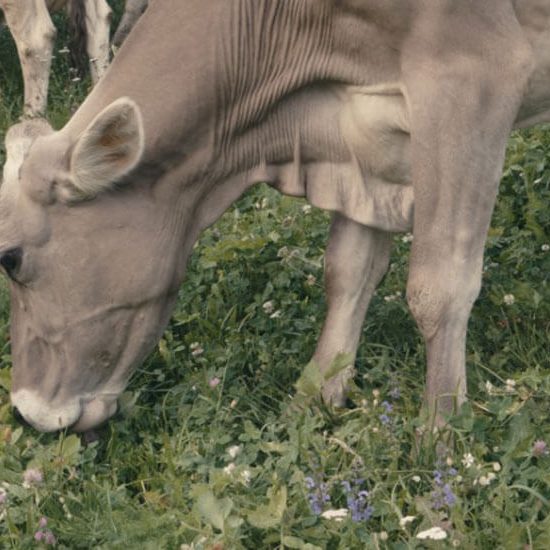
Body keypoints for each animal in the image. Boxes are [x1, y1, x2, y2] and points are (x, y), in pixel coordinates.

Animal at [2, 1, 548, 436]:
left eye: (10, 258)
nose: (26, 412)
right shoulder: (364, 138)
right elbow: (348, 271)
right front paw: (312, 400)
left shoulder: (472, 75)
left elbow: (438, 291)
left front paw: (441, 440)